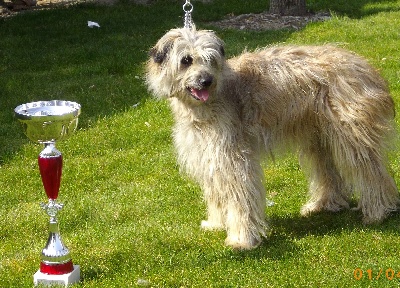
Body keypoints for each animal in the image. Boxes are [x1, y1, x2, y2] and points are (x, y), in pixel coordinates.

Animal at [146, 27, 400, 250]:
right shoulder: (208, 155)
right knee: (329, 171)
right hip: (318, 136)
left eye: (211, 60)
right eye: (186, 60)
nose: (206, 81)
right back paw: (325, 204)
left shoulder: (233, 158)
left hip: (352, 136)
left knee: (371, 172)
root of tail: (366, 67)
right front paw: (217, 223)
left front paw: (241, 239)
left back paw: (378, 211)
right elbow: (216, 192)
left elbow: (239, 196)